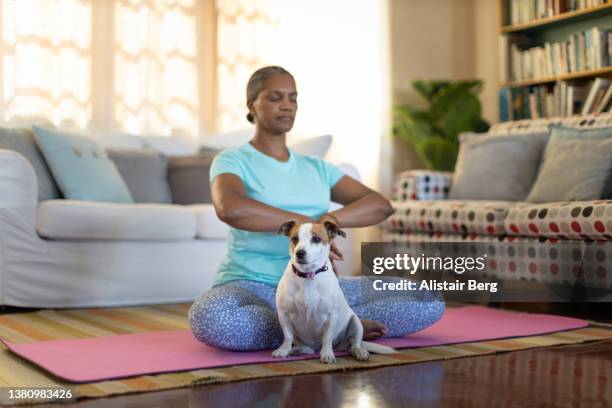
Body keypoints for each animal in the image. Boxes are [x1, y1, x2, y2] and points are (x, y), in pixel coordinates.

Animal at [272, 220, 396, 364]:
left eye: (316, 239)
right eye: (294, 239)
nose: (300, 253)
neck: (308, 276)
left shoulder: (331, 316)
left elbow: (327, 338)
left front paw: (327, 354)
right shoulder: (284, 314)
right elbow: (288, 337)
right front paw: (283, 350)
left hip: (355, 322)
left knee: (354, 344)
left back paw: (359, 351)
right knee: (308, 349)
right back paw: (297, 350)